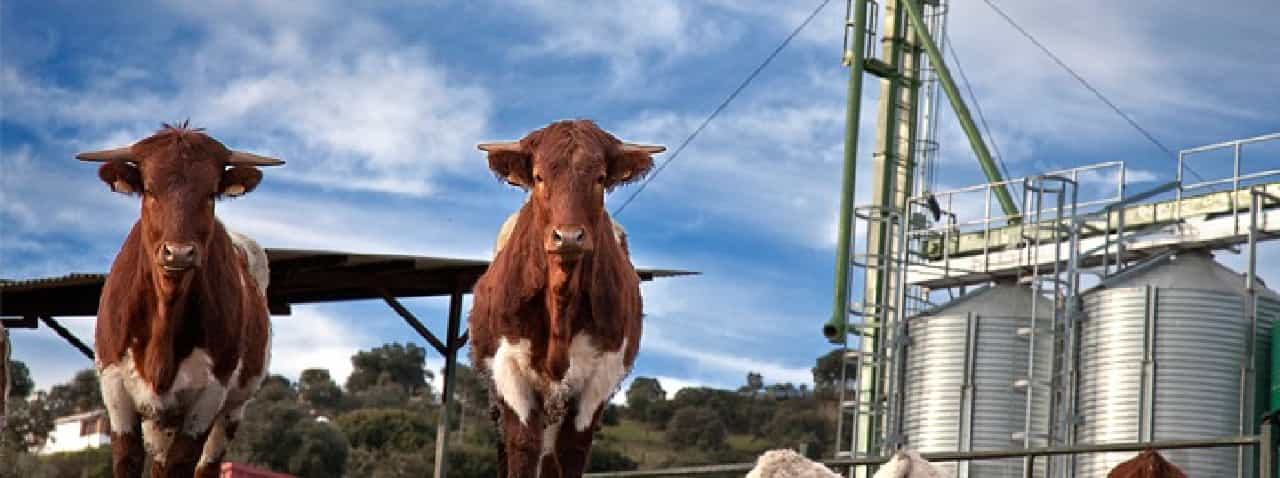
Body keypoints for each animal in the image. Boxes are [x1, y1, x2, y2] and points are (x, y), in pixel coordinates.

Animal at [80, 123, 282, 476]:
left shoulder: (210, 396)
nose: (179, 253)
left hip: (232, 408)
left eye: (211, 193)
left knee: (206, 463)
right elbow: (128, 461)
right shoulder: (115, 390)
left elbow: (182, 464)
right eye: (148, 189)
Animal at [471, 119, 665, 476]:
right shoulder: (509, 370)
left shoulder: (599, 377)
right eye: (538, 176)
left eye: (600, 178)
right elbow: (523, 446)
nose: (569, 236)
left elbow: (572, 450)